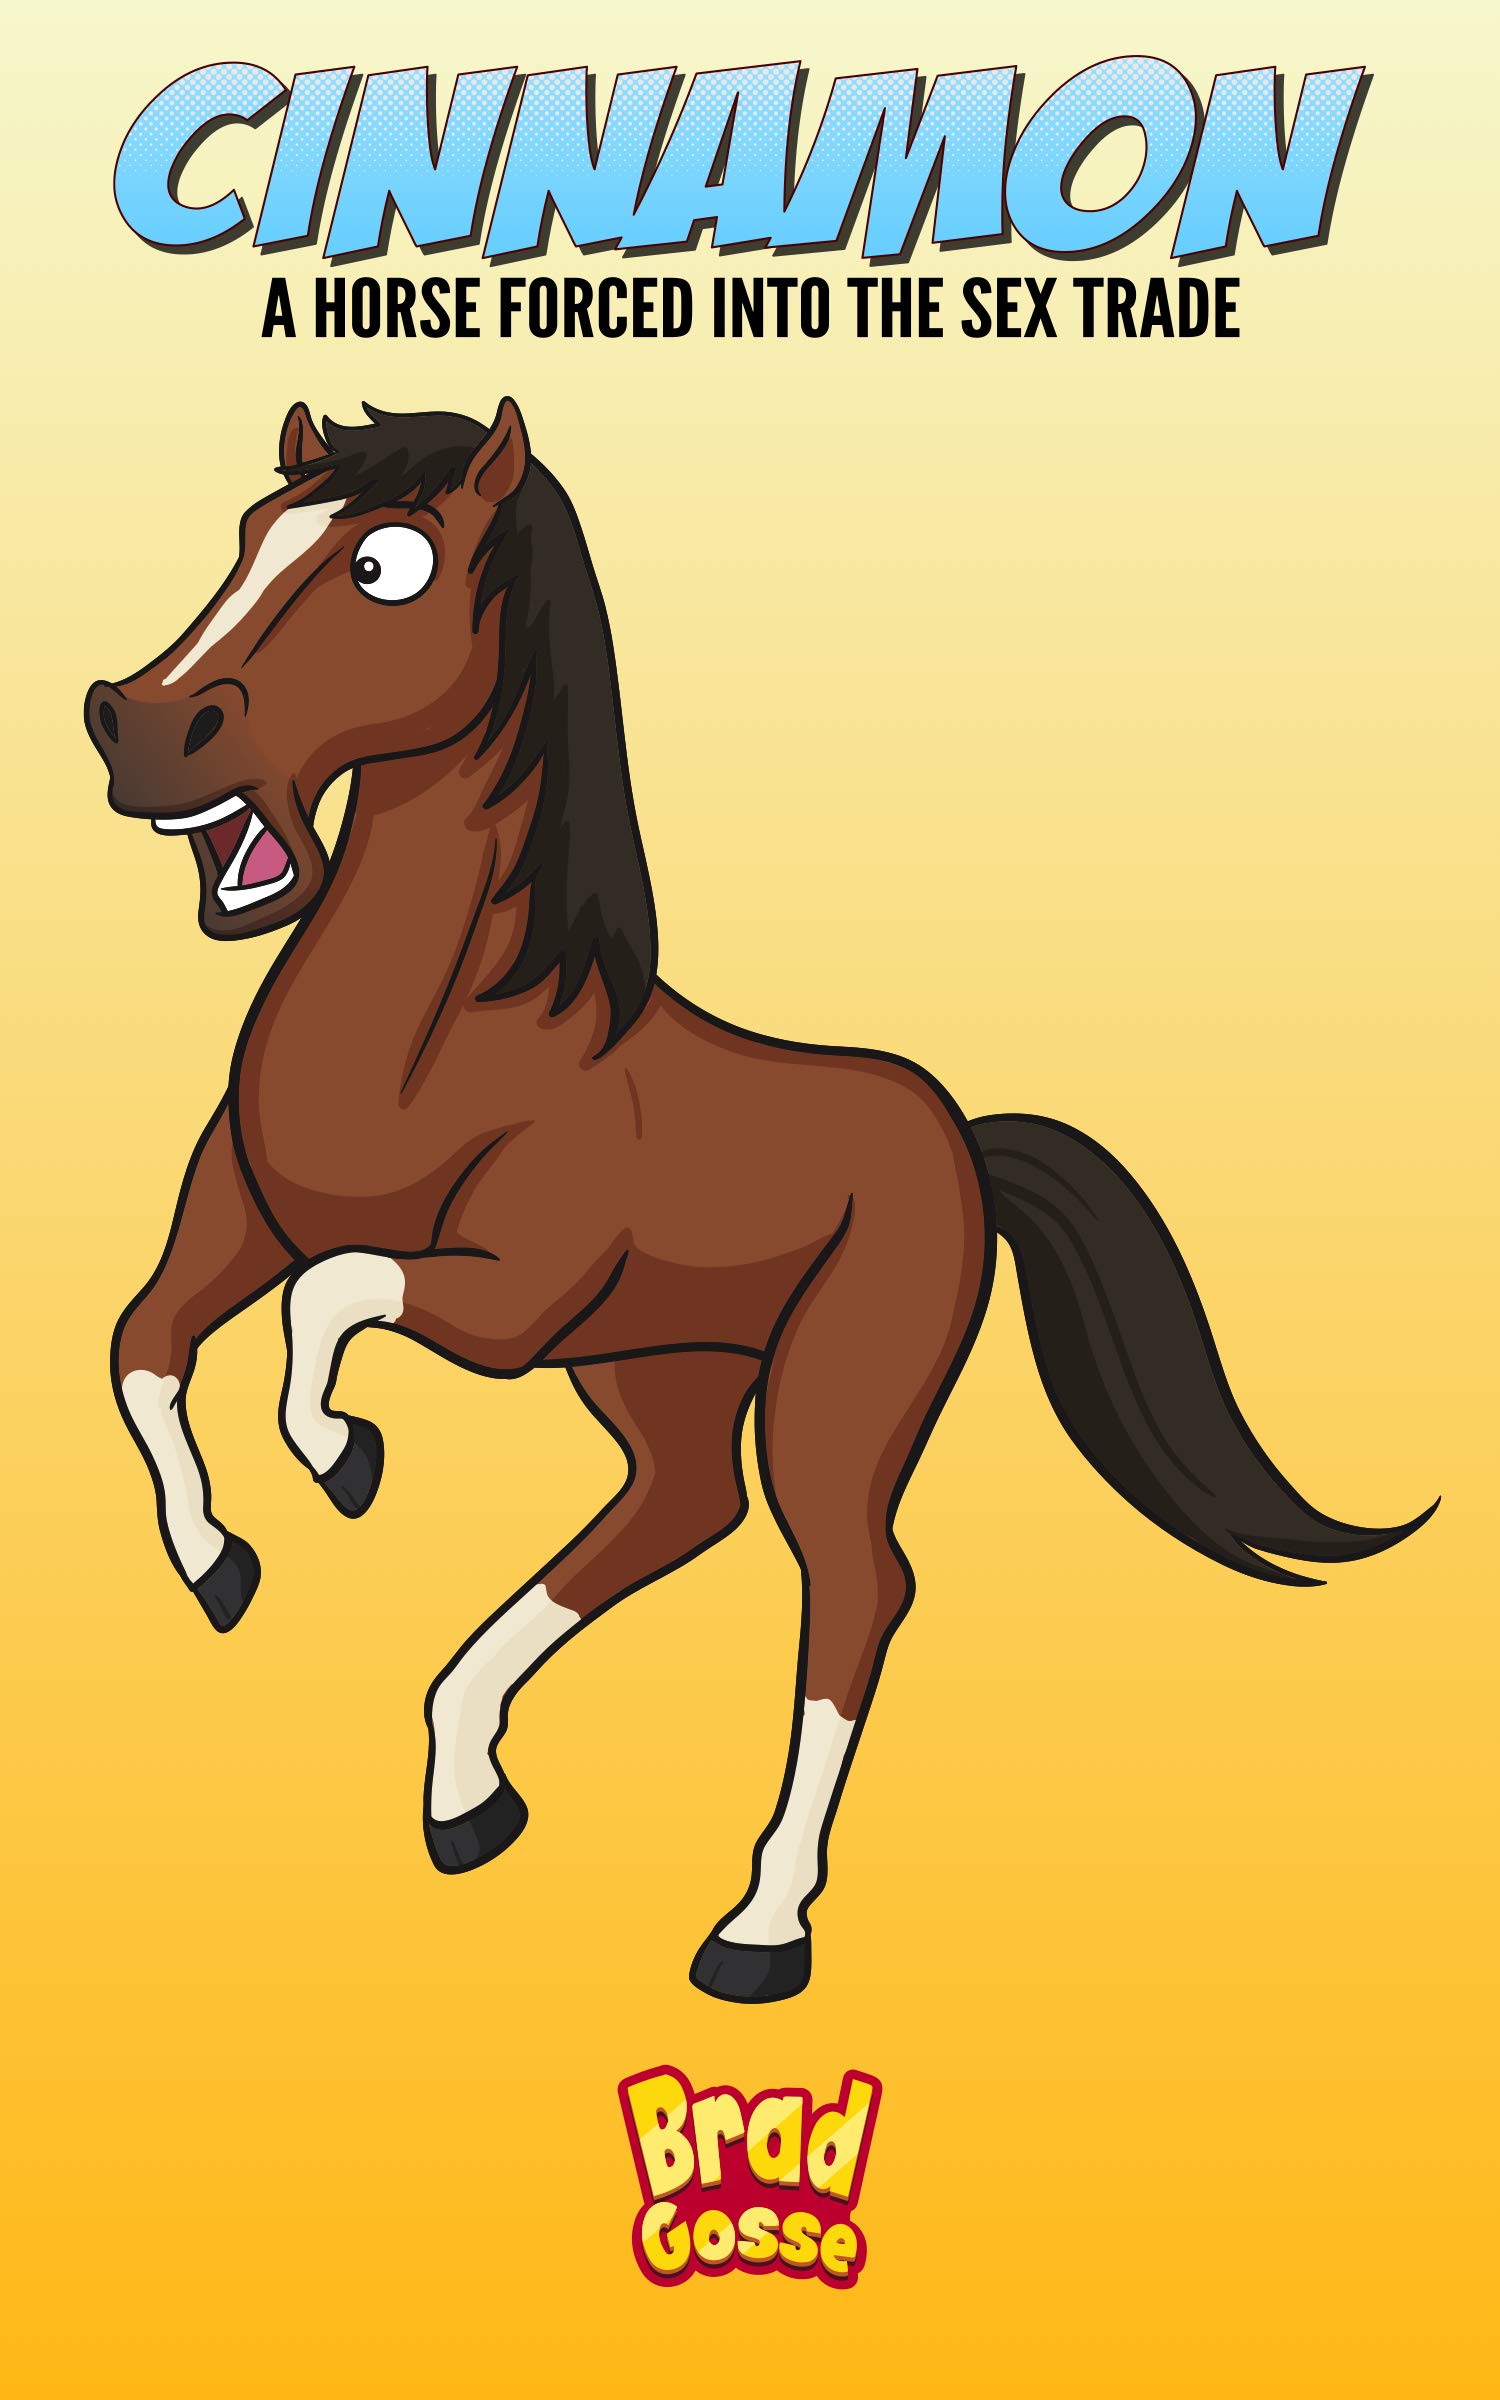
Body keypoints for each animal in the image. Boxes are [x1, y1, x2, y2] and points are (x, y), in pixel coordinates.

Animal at [84, 399, 1433, 2004]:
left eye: (386, 565)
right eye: (247, 533)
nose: (137, 724)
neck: (440, 1039)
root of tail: (960, 1136)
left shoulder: (507, 1300)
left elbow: (327, 1304)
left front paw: (344, 1461)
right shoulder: (239, 1215)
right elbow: (147, 1347)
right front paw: (222, 1565)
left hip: (832, 1397)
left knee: (853, 1591)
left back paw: (757, 1928)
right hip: (664, 1368)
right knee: (682, 1509)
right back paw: (470, 1794)